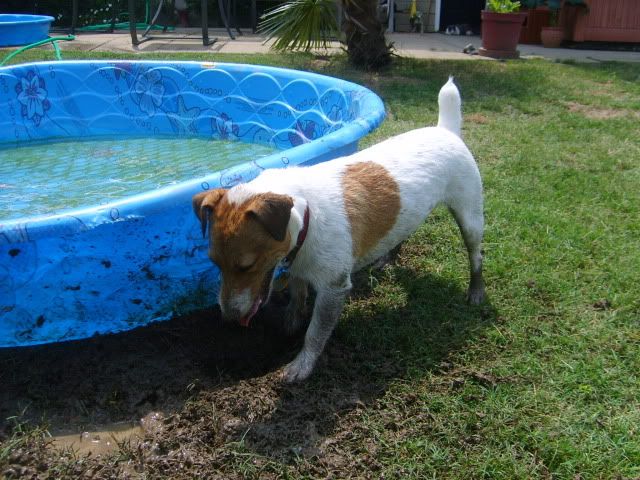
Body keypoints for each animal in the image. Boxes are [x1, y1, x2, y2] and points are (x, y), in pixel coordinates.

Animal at [192, 79, 482, 382]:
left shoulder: (334, 288)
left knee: (476, 254)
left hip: (471, 216)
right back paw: (387, 257)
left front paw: (301, 365)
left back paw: (475, 291)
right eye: (214, 262)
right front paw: (289, 326)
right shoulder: (298, 268)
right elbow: (297, 298)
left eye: (247, 266)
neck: (306, 214)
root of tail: (444, 129)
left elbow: (316, 332)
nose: (228, 319)